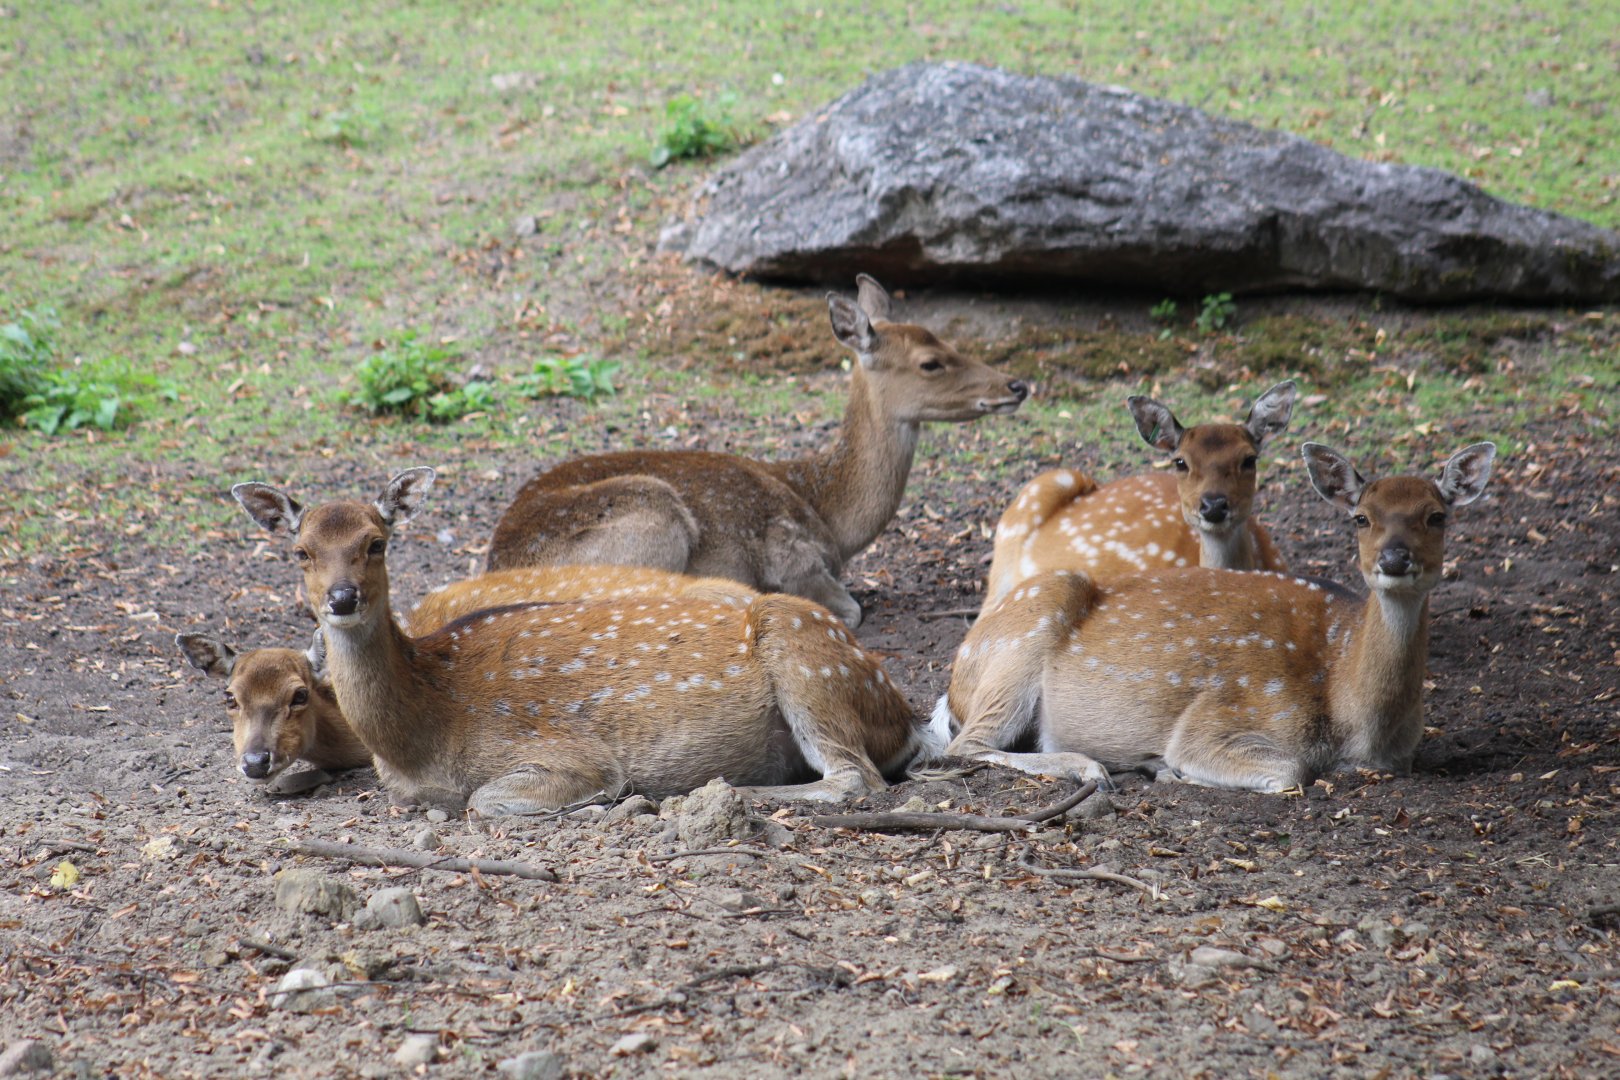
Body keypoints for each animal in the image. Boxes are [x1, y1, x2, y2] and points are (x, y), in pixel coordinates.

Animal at [485, 274, 1028, 627]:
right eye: (930, 362)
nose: (1017, 385)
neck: (830, 513)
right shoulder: (790, 553)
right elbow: (850, 608)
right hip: (654, 518)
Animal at [934, 441, 1496, 793]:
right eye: (1361, 518)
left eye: (1437, 516)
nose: (1395, 559)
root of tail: (957, 678)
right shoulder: (1221, 715)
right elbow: (1290, 770)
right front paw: (1168, 769)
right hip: (1023, 637)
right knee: (963, 746)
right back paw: (1091, 767)